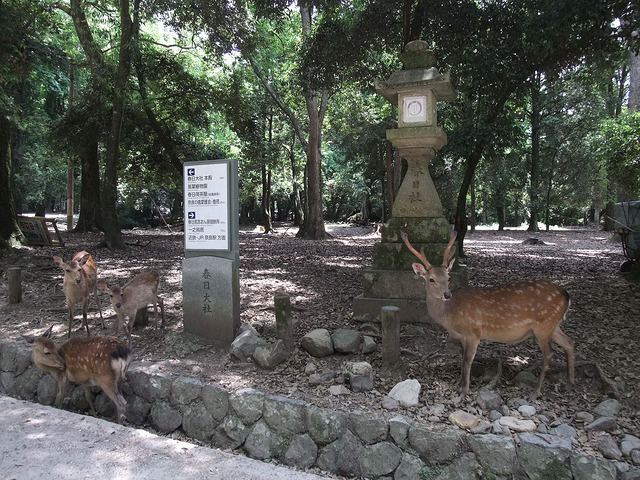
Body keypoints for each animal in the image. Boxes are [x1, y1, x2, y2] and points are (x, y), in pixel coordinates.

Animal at [400, 231, 576, 400]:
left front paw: (464, 391)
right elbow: (462, 359)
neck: (450, 316)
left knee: (549, 354)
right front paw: (460, 386)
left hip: (544, 325)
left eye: (448, 278)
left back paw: (536, 391)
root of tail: (567, 295)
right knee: (569, 342)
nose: (447, 294)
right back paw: (569, 384)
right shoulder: (462, 337)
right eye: (431, 279)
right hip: (553, 325)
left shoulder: (474, 332)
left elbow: (467, 361)